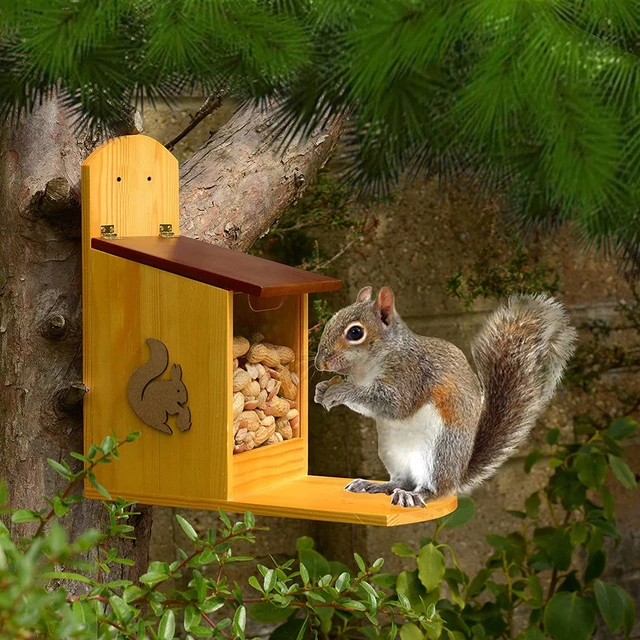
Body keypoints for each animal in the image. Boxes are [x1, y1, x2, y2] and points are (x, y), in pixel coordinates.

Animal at [312, 288, 576, 508]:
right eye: (331, 320)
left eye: (355, 332)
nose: (320, 363)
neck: (364, 370)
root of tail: (457, 476)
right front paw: (321, 389)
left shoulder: (411, 376)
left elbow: (394, 404)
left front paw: (340, 391)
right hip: (391, 451)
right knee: (401, 481)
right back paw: (375, 485)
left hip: (440, 451)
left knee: (434, 488)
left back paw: (415, 495)